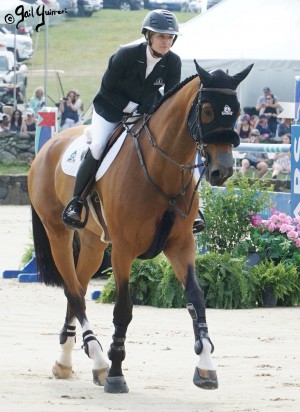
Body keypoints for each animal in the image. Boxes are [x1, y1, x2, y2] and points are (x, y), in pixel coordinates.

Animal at [28, 60, 253, 392]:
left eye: (236, 112)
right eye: (207, 110)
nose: (222, 171)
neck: (162, 170)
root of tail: (48, 146)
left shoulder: (181, 245)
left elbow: (196, 299)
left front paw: (206, 367)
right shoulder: (123, 250)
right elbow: (123, 309)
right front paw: (115, 373)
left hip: (94, 243)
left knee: (78, 286)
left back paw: (66, 362)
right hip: (58, 233)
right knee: (73, 291)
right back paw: (98, 359)